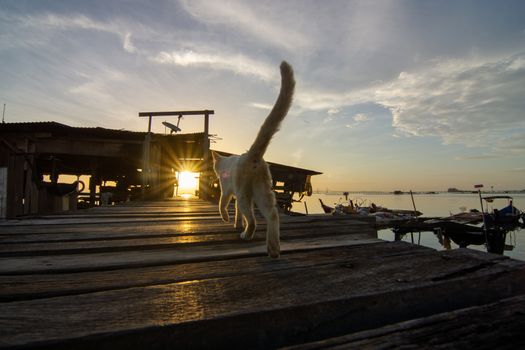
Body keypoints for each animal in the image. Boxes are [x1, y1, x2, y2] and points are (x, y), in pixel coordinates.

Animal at [212, 60, 294, 258]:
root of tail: (252, 154)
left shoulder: (227, 191)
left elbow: (222, 204)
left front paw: (227, 219)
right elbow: (237, 214)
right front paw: (236, 224)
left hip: (245, 195)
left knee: (253, 220)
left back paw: (246, 235)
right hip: (262, 193)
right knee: (273, 215)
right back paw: (273, 248)